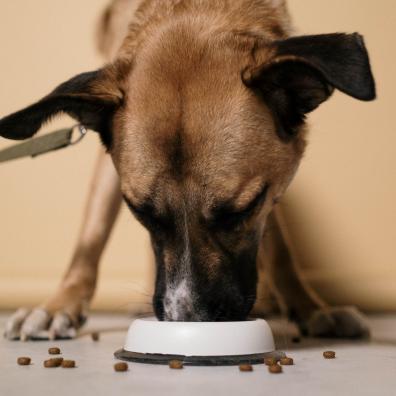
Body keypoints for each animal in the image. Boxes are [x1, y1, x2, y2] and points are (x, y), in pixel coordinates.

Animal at [1, 0, 376, 340]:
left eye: (241, 210)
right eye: (141, 212)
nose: (188, 320)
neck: (195, 9)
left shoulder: (271, 185)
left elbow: (280, 248)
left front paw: (310, 307)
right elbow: (91, 236)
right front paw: (58, 306)